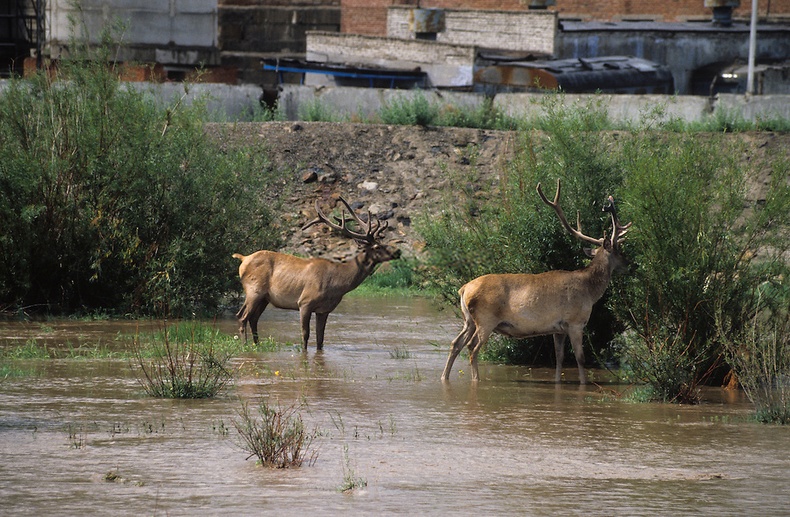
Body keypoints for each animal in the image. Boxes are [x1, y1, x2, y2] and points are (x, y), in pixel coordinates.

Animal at [232, 196, 400, 348]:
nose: (397, 252)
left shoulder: (324, 310)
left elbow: (320, 339)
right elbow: (305, 335)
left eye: (383, 242)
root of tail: (243, 258)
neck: (337, 284)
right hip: (254, 290)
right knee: (242, 316)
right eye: (377, 247)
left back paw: (257, 345)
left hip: (265, 298)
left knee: (253, 318)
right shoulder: (304, 302)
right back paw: (245, 346)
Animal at [442, 177, 636, 382]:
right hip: (485, 319)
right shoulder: (575, 322)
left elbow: (559, 358)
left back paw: (444, 378)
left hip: (469, 320)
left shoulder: (558, 329)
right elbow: (580, 359)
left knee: (455, 343)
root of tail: (463, 289)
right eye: (619, 251)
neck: (589, 291)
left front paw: (558, 382)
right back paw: (476, 381)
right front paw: (584, 384)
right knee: (472, 347)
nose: (633, 265)